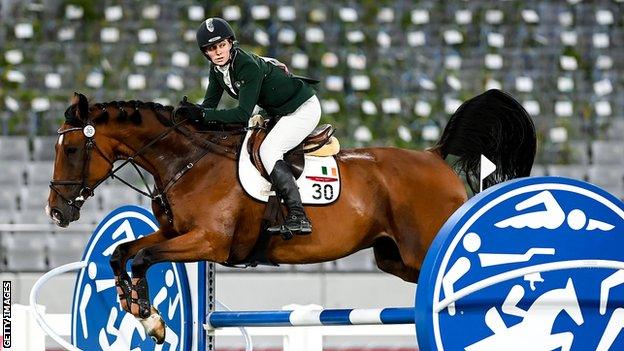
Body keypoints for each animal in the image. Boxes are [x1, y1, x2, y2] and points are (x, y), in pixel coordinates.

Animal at [48, 88, 536, 344]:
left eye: (71, 149)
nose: (56, 211)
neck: (188, 162)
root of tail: (435, 157)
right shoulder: (175, 234)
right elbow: (122, 252)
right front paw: (137, 309)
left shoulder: (208, 242)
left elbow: (143, 257)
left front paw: (150, 317)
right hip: (394, 256)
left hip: (423, 247)